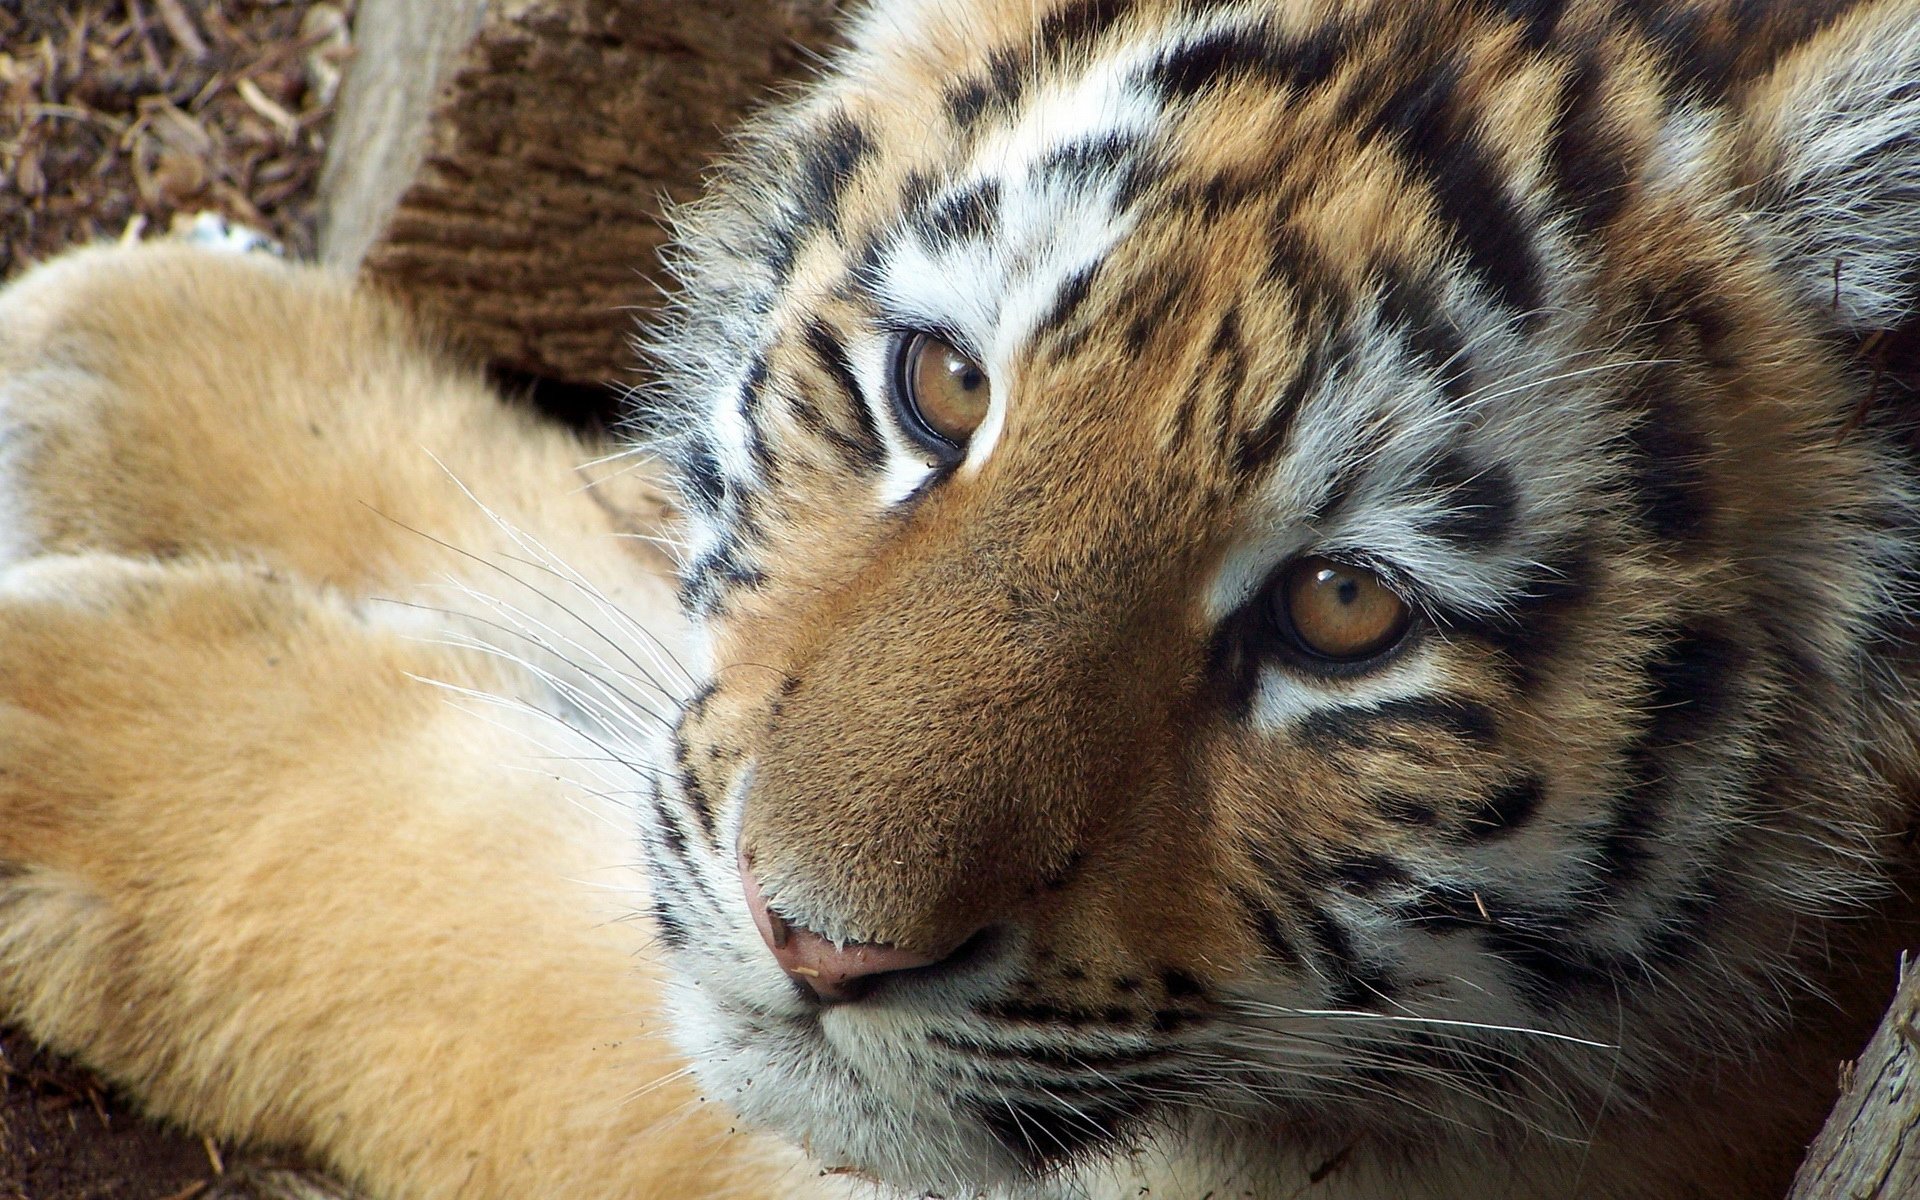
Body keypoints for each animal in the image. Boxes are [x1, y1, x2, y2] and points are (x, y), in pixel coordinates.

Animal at [5, 0, 1920, 1197]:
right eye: (937, 387)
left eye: (1345, 613)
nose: (814, 942)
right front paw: (130, 369)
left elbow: (474, 919)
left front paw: (71, 729)